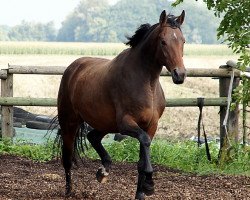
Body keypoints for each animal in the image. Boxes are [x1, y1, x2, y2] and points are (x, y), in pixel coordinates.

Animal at [57, 10, 186, 199]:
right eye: (163, 41)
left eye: (183, 41)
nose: (180, 75)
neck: (146, 83)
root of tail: (73, 68)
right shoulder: (126, 124)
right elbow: (144, 143)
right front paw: (149, 185)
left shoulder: (151, 126)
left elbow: (142, 158)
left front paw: (140, 193)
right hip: (69, 122)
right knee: (67, 157)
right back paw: (69, 190)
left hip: (105, 123)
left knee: (92, 136)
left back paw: (103, 171)